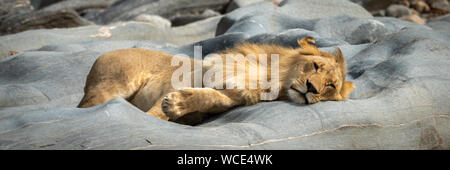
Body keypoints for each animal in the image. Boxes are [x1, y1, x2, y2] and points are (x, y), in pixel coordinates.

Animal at [78, 36, 356, 125]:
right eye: (316, 66)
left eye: (330, 85)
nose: (311, 88)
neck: (271, 79)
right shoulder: (196, 73)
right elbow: (157, 110)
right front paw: (159, 113)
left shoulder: (232, 97)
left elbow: (211, 98)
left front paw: (177, 105)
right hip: (113, 86)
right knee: (84, 108)